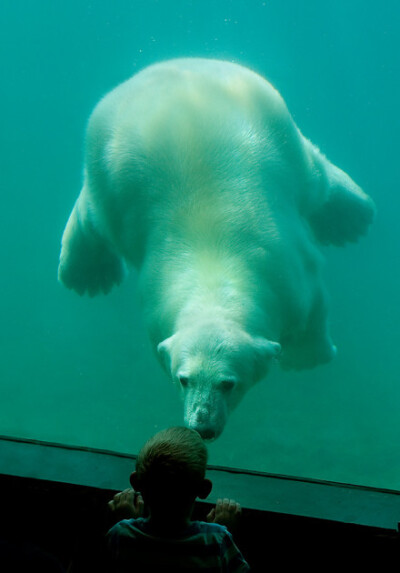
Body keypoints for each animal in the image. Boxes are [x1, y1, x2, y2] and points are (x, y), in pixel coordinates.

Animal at [59, 58, 376, 440]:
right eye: (184, 379)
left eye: (228, 382)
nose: (202, 426)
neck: (215, 267)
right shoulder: (156, 301)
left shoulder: (290, 268)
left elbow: (314, 307)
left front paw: (307, 358)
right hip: (108, 169)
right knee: (93, 213)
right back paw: (88, 275)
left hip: (279, 132)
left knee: (314, 177)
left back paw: (351, 219)